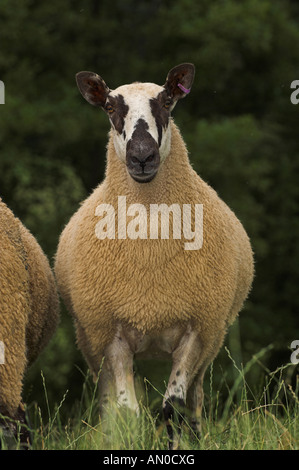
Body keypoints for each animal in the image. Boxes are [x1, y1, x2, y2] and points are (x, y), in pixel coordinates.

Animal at [55, 63, 254, 448]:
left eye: (166, 102)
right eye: (110, 107)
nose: (143, 157)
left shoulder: (195, 332)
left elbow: (172, 407)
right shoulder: (113, 336)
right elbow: (128, 412)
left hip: (212, 339)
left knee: (194, 399)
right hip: (92, 341)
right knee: (109, 406)